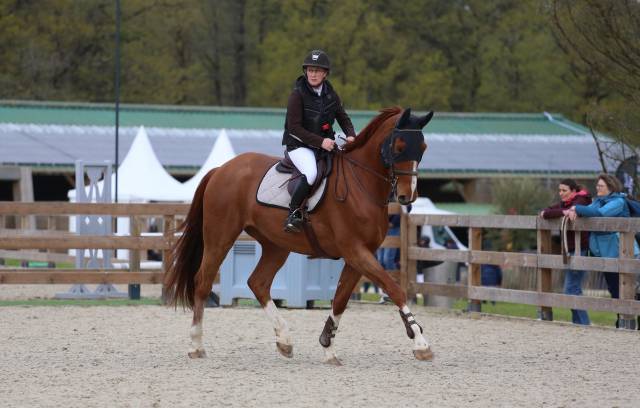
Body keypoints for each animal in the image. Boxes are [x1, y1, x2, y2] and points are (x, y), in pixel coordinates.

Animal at [164, 106, 434, 364]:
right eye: (399, 147)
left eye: (423, 148)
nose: (407, 197)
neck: (362, 184)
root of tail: (222, 169)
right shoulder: (355, 251)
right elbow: (394, 289)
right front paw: (420, 343)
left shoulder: (359, 256)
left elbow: (340, 299)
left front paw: (328, 347)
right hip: (220, 237)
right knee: (203, 282)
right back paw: (196, 345)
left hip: (276, 245)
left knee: (258, 283)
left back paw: (284, 340)